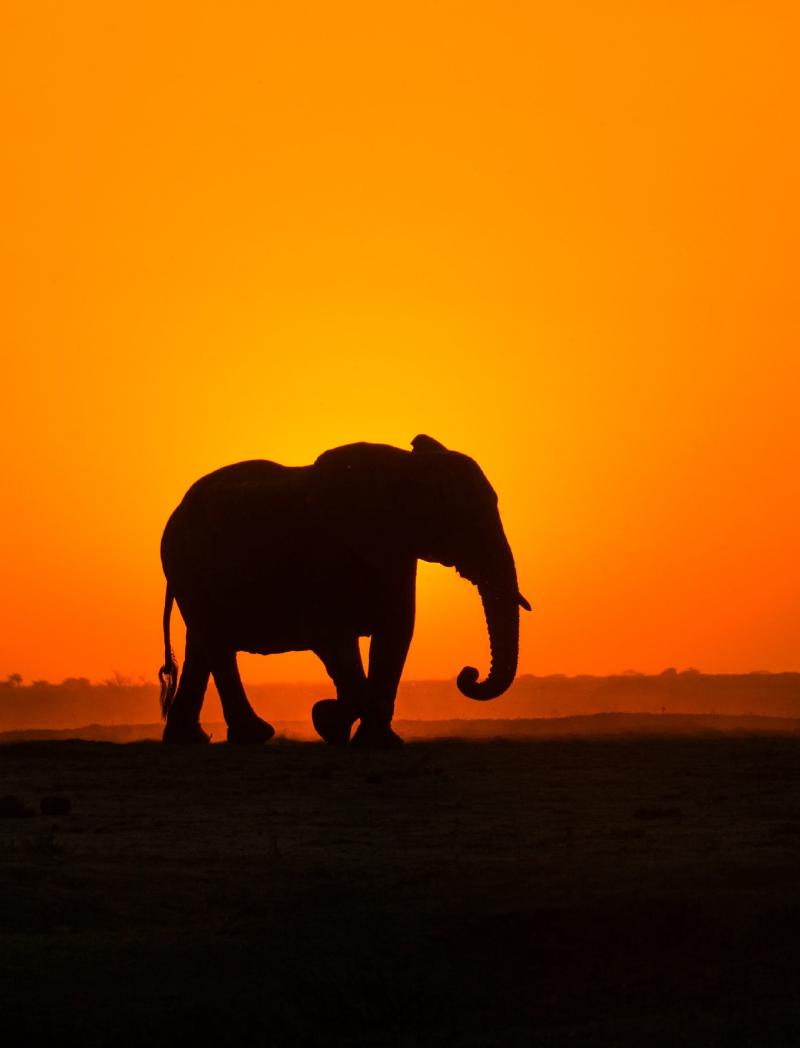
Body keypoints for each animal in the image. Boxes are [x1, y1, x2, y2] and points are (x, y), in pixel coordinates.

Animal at [158, 435, 530, 747]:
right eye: (466, 517)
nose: (468, 673)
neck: (406, 469)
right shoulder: (327, 553)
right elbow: (331, 635)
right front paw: (327, 721)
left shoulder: (397, 553)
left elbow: (395, 634)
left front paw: (377, 742)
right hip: (184, 565)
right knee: (216, 644)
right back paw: (253, 735)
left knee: (201, 645)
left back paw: (190, 740)